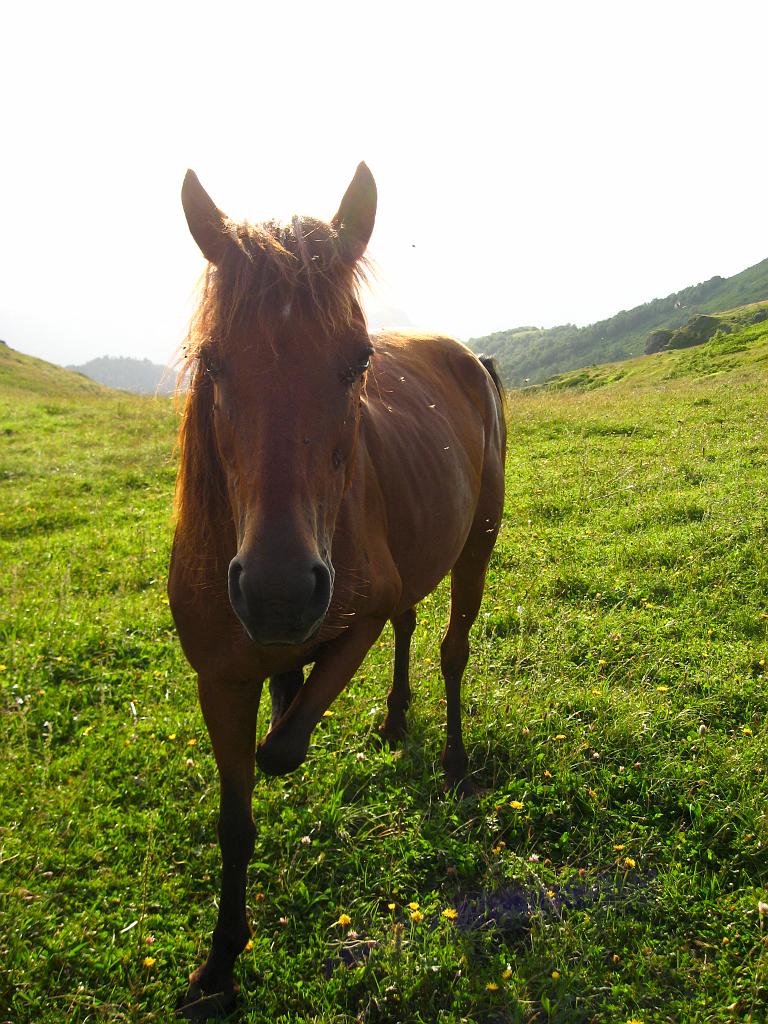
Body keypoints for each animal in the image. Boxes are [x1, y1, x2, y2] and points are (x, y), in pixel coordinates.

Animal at [167, 163, 505, 1019]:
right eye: (213, 364)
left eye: (356, 363)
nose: (281, 595)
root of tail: (467, 355)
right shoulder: (217, 678)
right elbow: (235, 816)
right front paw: (218, 965)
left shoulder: (356, 620)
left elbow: (280, 749)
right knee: (415, 628)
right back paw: (392, 718)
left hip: (477, 547)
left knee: (450, 649)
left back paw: (453, 761)